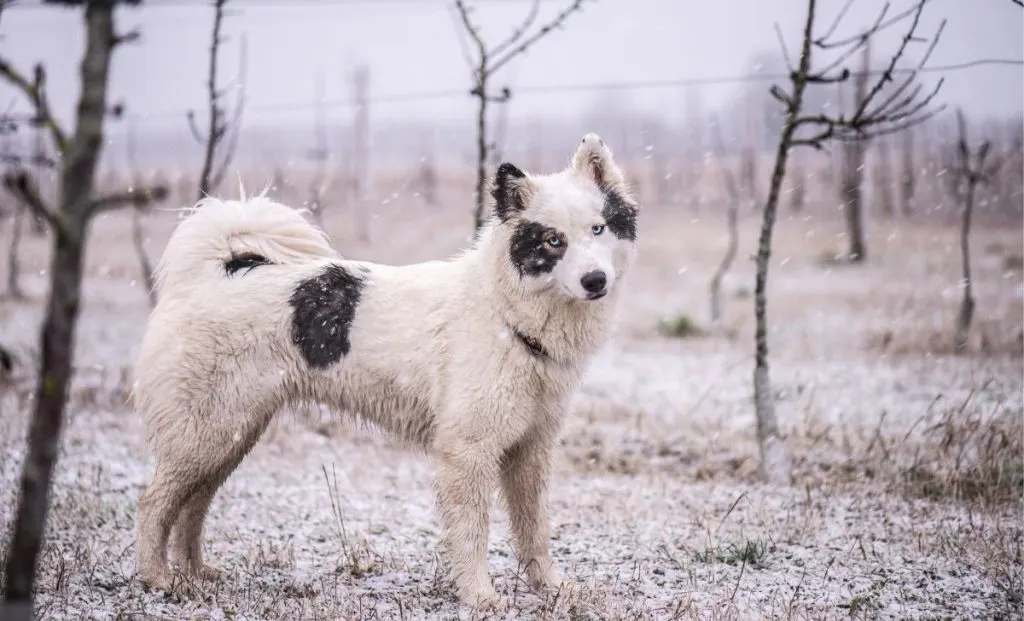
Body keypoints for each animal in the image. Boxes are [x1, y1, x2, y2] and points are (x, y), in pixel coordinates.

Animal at [130, 135, 638, 606]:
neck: (505, 311)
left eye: (598, 228)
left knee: (193, 506)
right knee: (155, 502)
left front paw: (551, 588)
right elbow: (473, 534)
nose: (596, 281)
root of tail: (213, 275)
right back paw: (157, 580)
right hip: (206, 433)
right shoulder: (468, 453)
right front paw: (480, 597)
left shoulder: (531, 451)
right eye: (553, 241)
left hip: (232, 436)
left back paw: (196, 574)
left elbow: (535, 530)